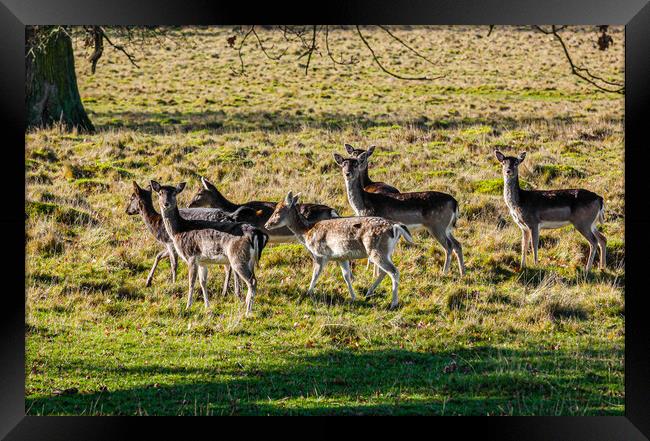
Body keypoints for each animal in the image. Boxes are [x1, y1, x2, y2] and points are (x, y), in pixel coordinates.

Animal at [124, 180, 253, 294]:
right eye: (160, 193)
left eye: (132, 197)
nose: (127, 210)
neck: (157, 225)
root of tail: (230, 217)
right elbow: (158, 255)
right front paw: (148, 281)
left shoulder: (170, 242)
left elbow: (173, 263)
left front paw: (173, 283)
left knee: (229, 266)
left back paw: (228, 291)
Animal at [150, 179, 268, 312]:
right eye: (160, 193)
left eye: (174, 193)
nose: (166, 203)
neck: (178, 231)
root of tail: (257, 234)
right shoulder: (202, 261)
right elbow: (203, 282)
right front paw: (207, 306)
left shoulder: (191, 255)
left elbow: (191, 282)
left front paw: (188, 306)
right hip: (250, 260)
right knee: (253, 279)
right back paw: (246, 304)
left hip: (238, 257)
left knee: (252, 281)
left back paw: (248, 311)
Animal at [264, 191, 410, 308]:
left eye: (277, 211)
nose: (266, 225)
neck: (307, 233)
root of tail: (395, 227)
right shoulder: (341, 257)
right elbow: (346, 276)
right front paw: (353, 297)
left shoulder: (320, 254)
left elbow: (316, 274)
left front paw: (308, 292)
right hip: (386, 251)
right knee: (385, 271)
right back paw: (369, 293)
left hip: (376, 250)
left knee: (394, 271)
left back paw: (393, 303)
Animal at [332, 150, 464, 276]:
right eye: (343, 164)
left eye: (356, 164)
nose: (347, 173)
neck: (363, 206)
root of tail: (454, 202)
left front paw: (374, 275)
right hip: (447, 227)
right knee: (457, 244)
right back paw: (463, 272)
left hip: (437, 225)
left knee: (449, 246)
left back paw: (444, 272)